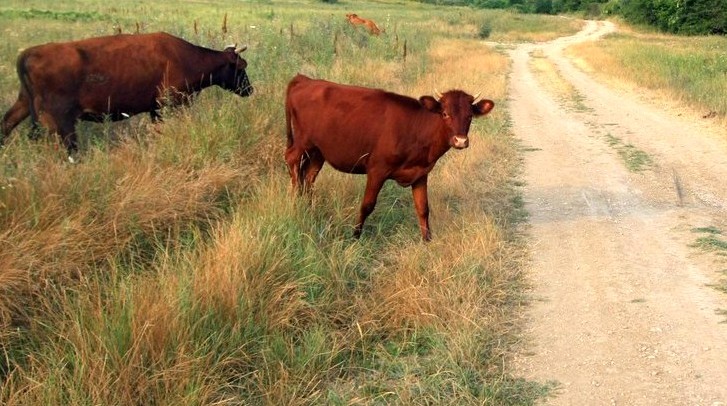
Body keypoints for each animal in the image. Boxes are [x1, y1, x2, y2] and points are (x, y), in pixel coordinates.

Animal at [1, 31, 253, 155]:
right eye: (242, 67)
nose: (250, 89)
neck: (187, 58)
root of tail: (29, 53)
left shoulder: (155, 108)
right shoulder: (171, 103)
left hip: (24, 103)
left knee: (6, 123)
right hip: (60, 118)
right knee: (69, 146)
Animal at [284, 73, 494, 241]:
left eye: (470, 116)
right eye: (444, 113)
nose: (460, 141)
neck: (416, 130)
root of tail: (304, 79)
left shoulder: (420, 173)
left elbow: (423, 208)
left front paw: (428, 241)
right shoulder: (377, 169)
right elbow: (367, 205)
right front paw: (354, 237)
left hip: (318, 151)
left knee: (309, 177)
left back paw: (308, 207)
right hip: (303, 141)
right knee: (291, 160)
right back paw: (295, 199)